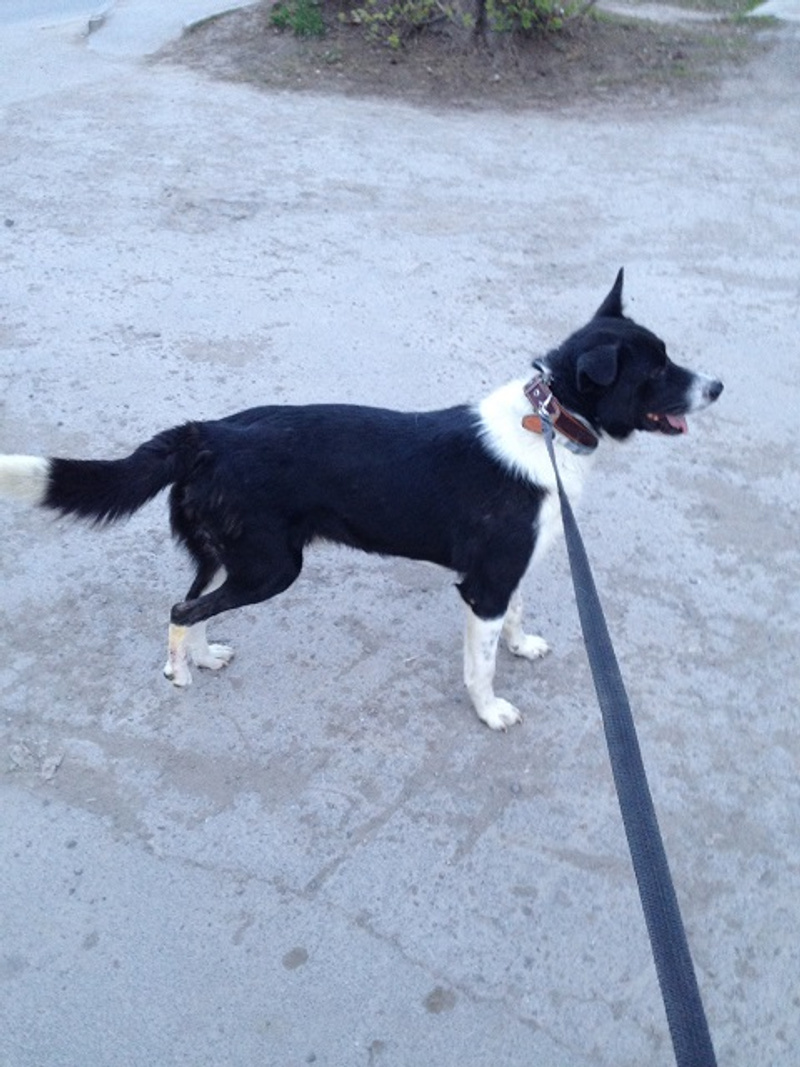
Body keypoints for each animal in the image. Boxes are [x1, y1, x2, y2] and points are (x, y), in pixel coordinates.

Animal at [0, 271, 722, 729]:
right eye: (656, 370)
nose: (717, 386)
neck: (547, 421)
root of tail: (207, 433)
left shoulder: (508, 575)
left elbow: (514, 623)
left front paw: (522, 647)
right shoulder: (484, 586)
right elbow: (480, 665)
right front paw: (489, 711)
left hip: (228, 553)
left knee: (191, 600)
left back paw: (202, 656)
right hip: (272, 566)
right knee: (184, 609)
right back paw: (179, 670)